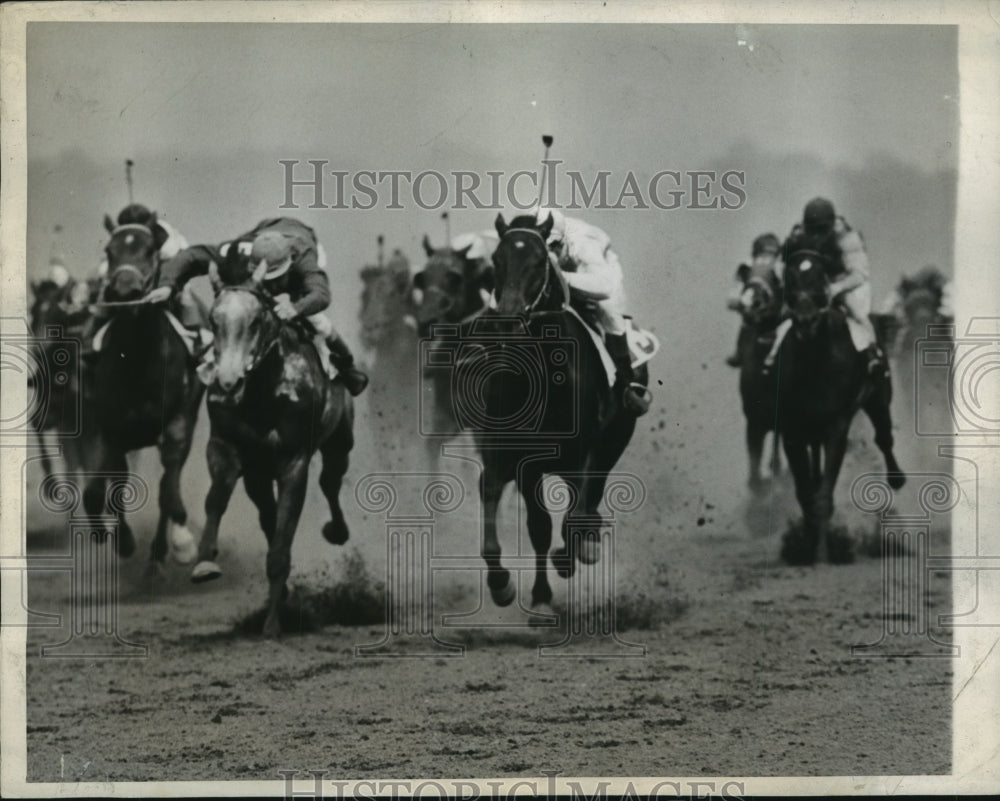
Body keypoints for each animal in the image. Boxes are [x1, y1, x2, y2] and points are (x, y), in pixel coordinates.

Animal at [82, 216, 207, 564]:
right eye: (109, 251)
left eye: (149, 249)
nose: (125, 289)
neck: (137, 360)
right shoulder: (112, 429)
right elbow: (108, 487)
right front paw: (121, 539)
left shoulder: (177, 424)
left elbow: (168, 489)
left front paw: (182, 543)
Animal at [191, 250, 356, 636]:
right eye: (213, 320)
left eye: (255, 322)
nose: (228, 383)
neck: (262, 393)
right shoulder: (225, 448)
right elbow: (216, 498)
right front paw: (205, 561)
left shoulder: (293, 461)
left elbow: (283, 541)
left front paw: (271, 625)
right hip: (258, 474)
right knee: (267, 514)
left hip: (340, 441)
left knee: (330, 481)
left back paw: (337, 531)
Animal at [468, 211, 648, 612]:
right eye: (496, 261)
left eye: (538, 261)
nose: (506, 320)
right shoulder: (519, 458)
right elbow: (534, 524)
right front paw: (518, 589)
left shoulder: (586, 450)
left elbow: (572, 516)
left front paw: (571, 556)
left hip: (613, 439)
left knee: (589, 497)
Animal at [772, 247, 908, 564]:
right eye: (790, 277)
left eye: (821, 277)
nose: (805, 319)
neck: (814, 362)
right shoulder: (792, 431)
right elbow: (806, 495)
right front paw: (806, 544)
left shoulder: (836, 427)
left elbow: (822, 497)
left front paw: (823, 553)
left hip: (879, 396)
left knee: (884, 437)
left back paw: (896, 478)